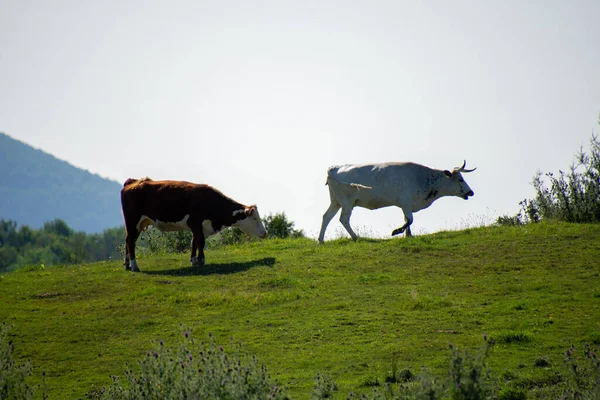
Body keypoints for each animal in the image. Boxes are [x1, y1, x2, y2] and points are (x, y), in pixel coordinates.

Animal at [119, 178, 264, 272]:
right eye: (255, 218)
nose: (265, 232)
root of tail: (134, 182)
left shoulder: (198, 227)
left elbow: (194, 242)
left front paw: (194, 260)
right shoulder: (196, 223)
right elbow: (200, 242)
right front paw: (201, 261)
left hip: (135, 225)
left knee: (127, 240)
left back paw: (127, 265)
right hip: (133, 222)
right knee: (131, 242)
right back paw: (134, 266)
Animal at [316, 160, 476, 242]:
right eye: (460, 179)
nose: (471, 192)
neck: (423, 178)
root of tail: (335, 167)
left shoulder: (406, 205)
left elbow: (407, 220)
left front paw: (408, 235)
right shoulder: (406, 202)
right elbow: (409, 219)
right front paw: (397, 231)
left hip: (336, 201)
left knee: (326, 216)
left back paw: (321, 239)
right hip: (347, 202)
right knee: (343, 219)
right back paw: (355, 237)